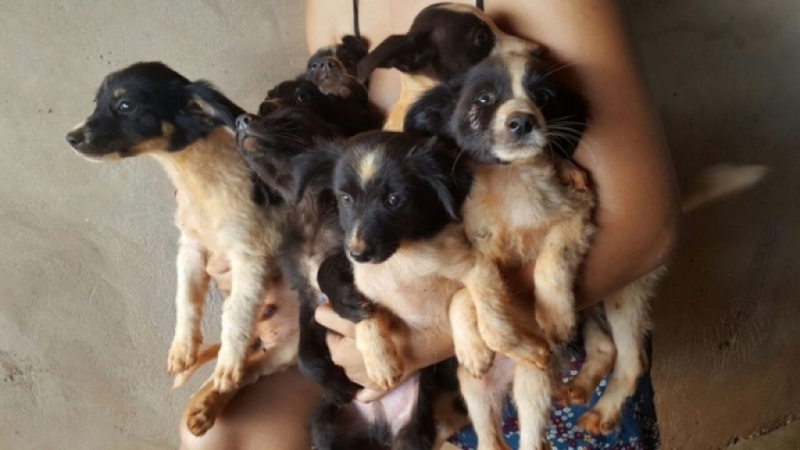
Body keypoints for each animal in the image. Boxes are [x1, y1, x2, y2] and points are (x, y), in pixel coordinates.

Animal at [65, 62, 299, 435]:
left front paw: (226, 357)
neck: (196, 180)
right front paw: (183, 348)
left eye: (126, 106)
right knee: (249, 371)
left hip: (292, 347)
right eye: (97, 103)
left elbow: (236, 314)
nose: (70, 138)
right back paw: (204, 410)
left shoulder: (251, 255)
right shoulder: (190, 247)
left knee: (243, 372)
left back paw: (222, 377)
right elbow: (186, 297)